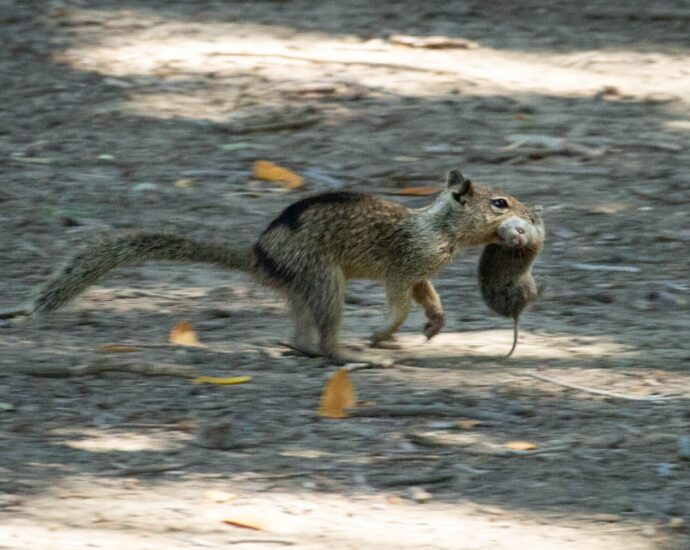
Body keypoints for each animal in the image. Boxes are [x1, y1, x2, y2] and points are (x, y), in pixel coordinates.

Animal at [6, 170, 536, 364]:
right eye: (499, 203)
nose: (532, 216)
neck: (439, 227)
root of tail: (259, 257)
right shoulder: (403, 267)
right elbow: (401, 303)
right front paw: (385, 333)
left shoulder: (422, 272)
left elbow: (430, 297)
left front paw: (434, 324)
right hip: (325, 280)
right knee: (326, 338)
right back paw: (353, 354)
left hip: (306, 288)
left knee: (301, 333)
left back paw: (299, 346)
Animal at [478, 206, 544, 358]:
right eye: (502, 237)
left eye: (520, 230)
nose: (516, 241)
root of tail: (515, 313)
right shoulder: (537, 236)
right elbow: (541, 227)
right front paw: (537, 211)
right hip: (527, 286)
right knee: (533, 297)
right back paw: (544, 284)